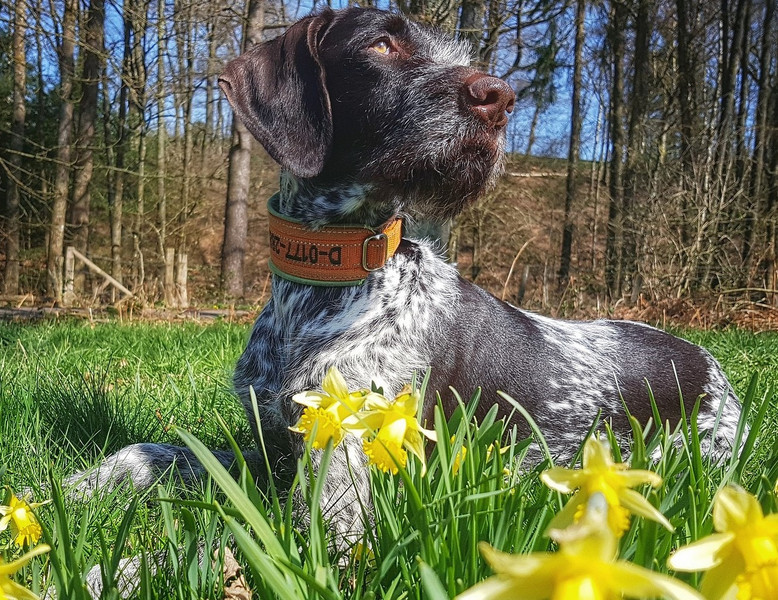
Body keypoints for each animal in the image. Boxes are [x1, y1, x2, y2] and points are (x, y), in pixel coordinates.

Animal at [67, 6, 742, 547]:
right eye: (382, 44)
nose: (500, 96)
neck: (319, 291)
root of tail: (711, 363)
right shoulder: (271, 448)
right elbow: (153, 451)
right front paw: (82, 485)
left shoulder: (341, 494)